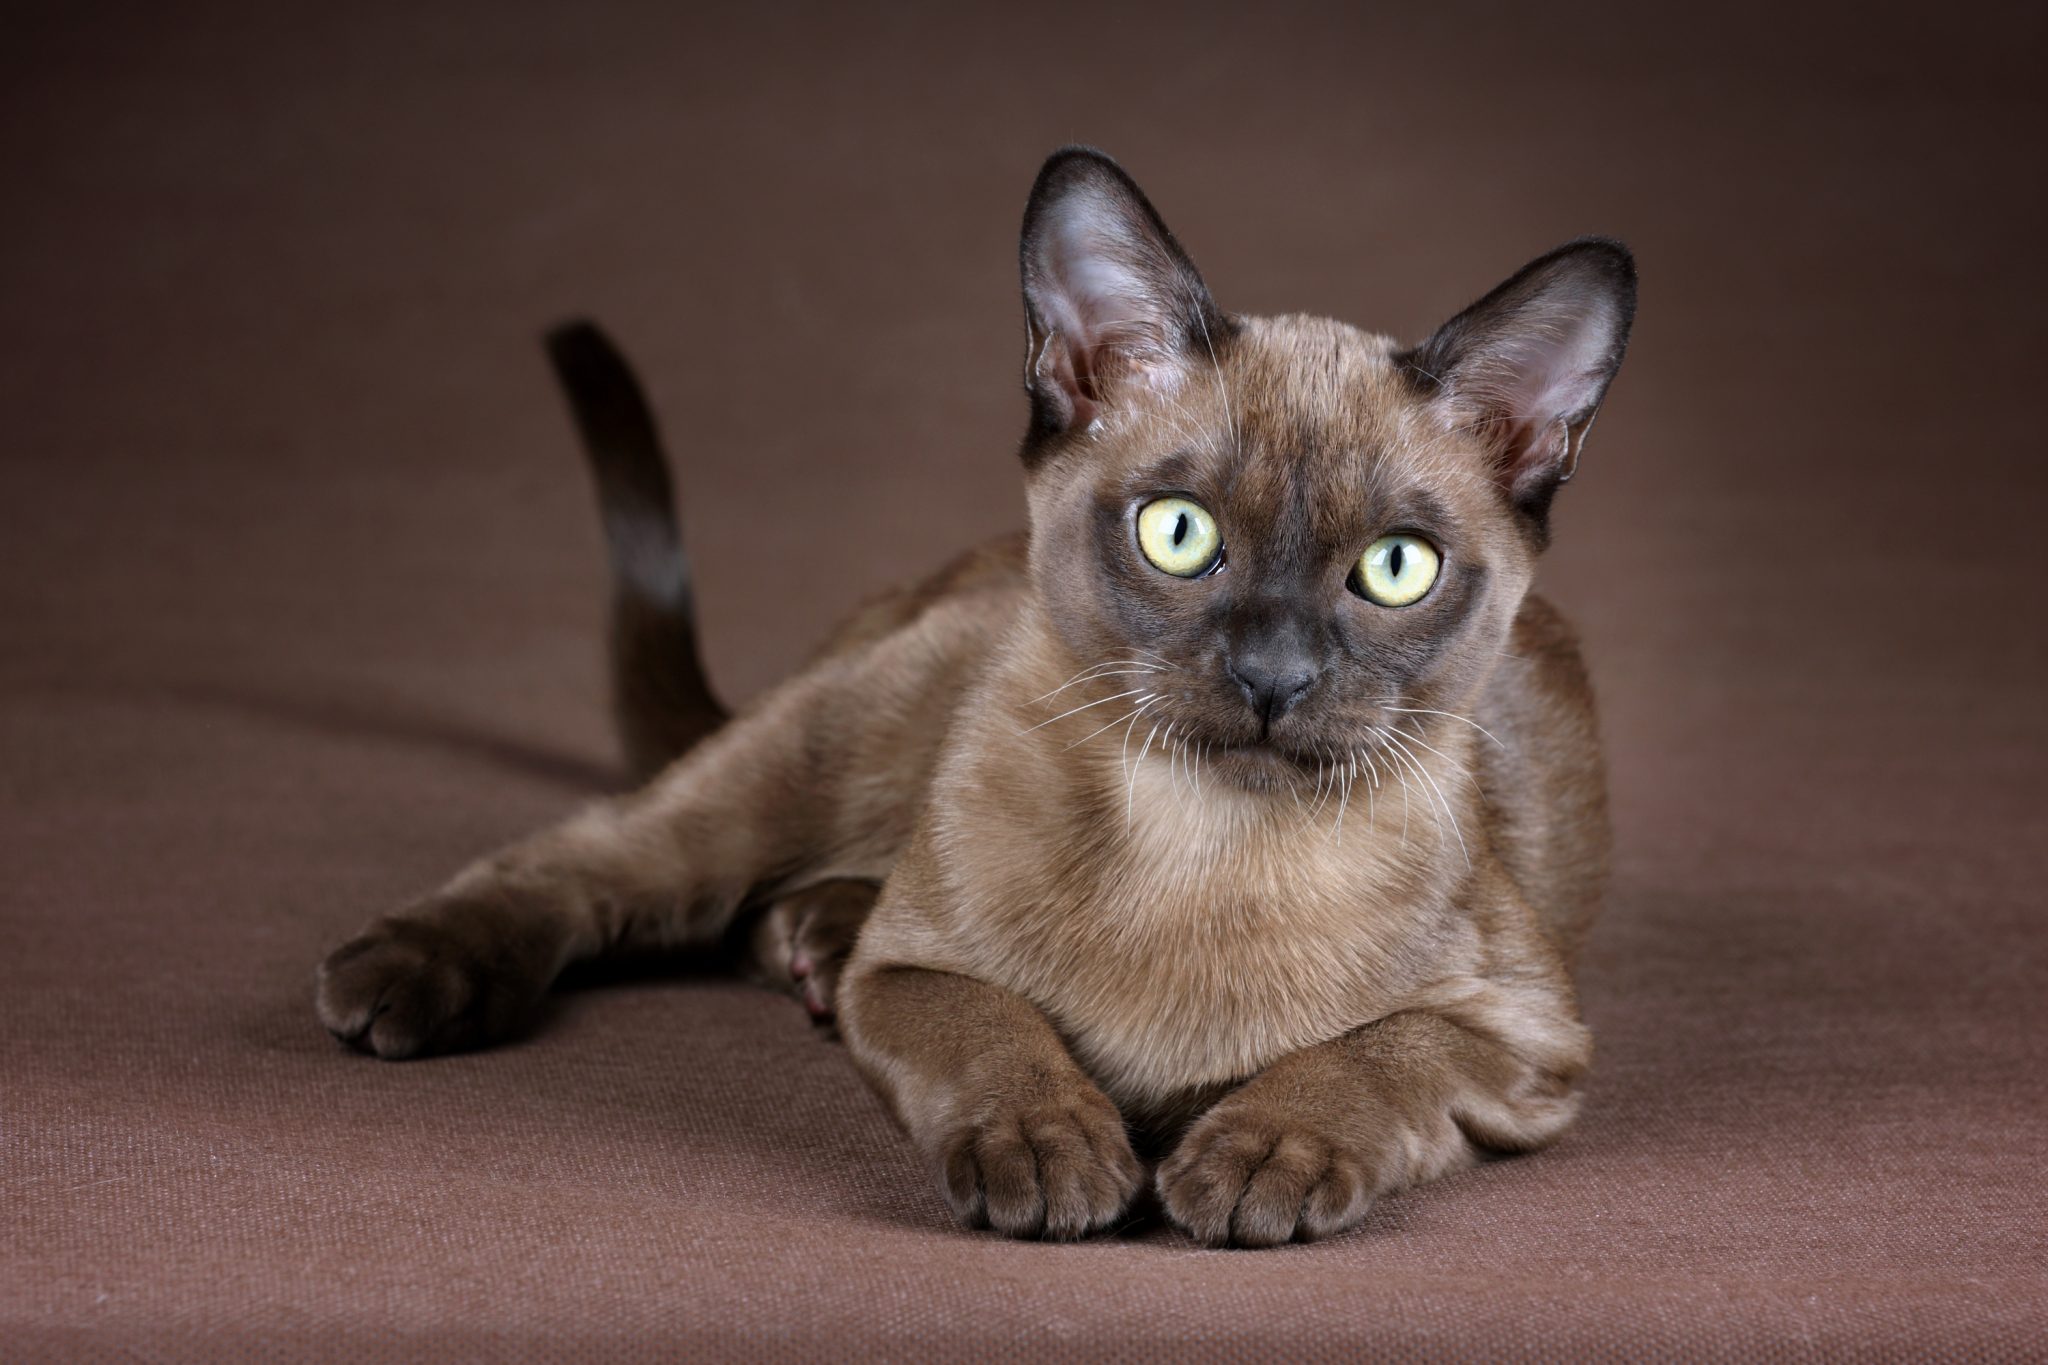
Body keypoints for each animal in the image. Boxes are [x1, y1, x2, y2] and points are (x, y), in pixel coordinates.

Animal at [315, 147, 1630, 1252]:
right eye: (1179, 534)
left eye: (1393, 568)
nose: (1271, 676)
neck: (1202, 845)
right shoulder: (915, 978)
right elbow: (996, 1032)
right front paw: (1051, 1160)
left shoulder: (1524, 1039)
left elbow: (1378, 1053)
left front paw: (1257, 1159)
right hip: (808, 759)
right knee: (599, 859)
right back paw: (402, 982)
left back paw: (811, 943)